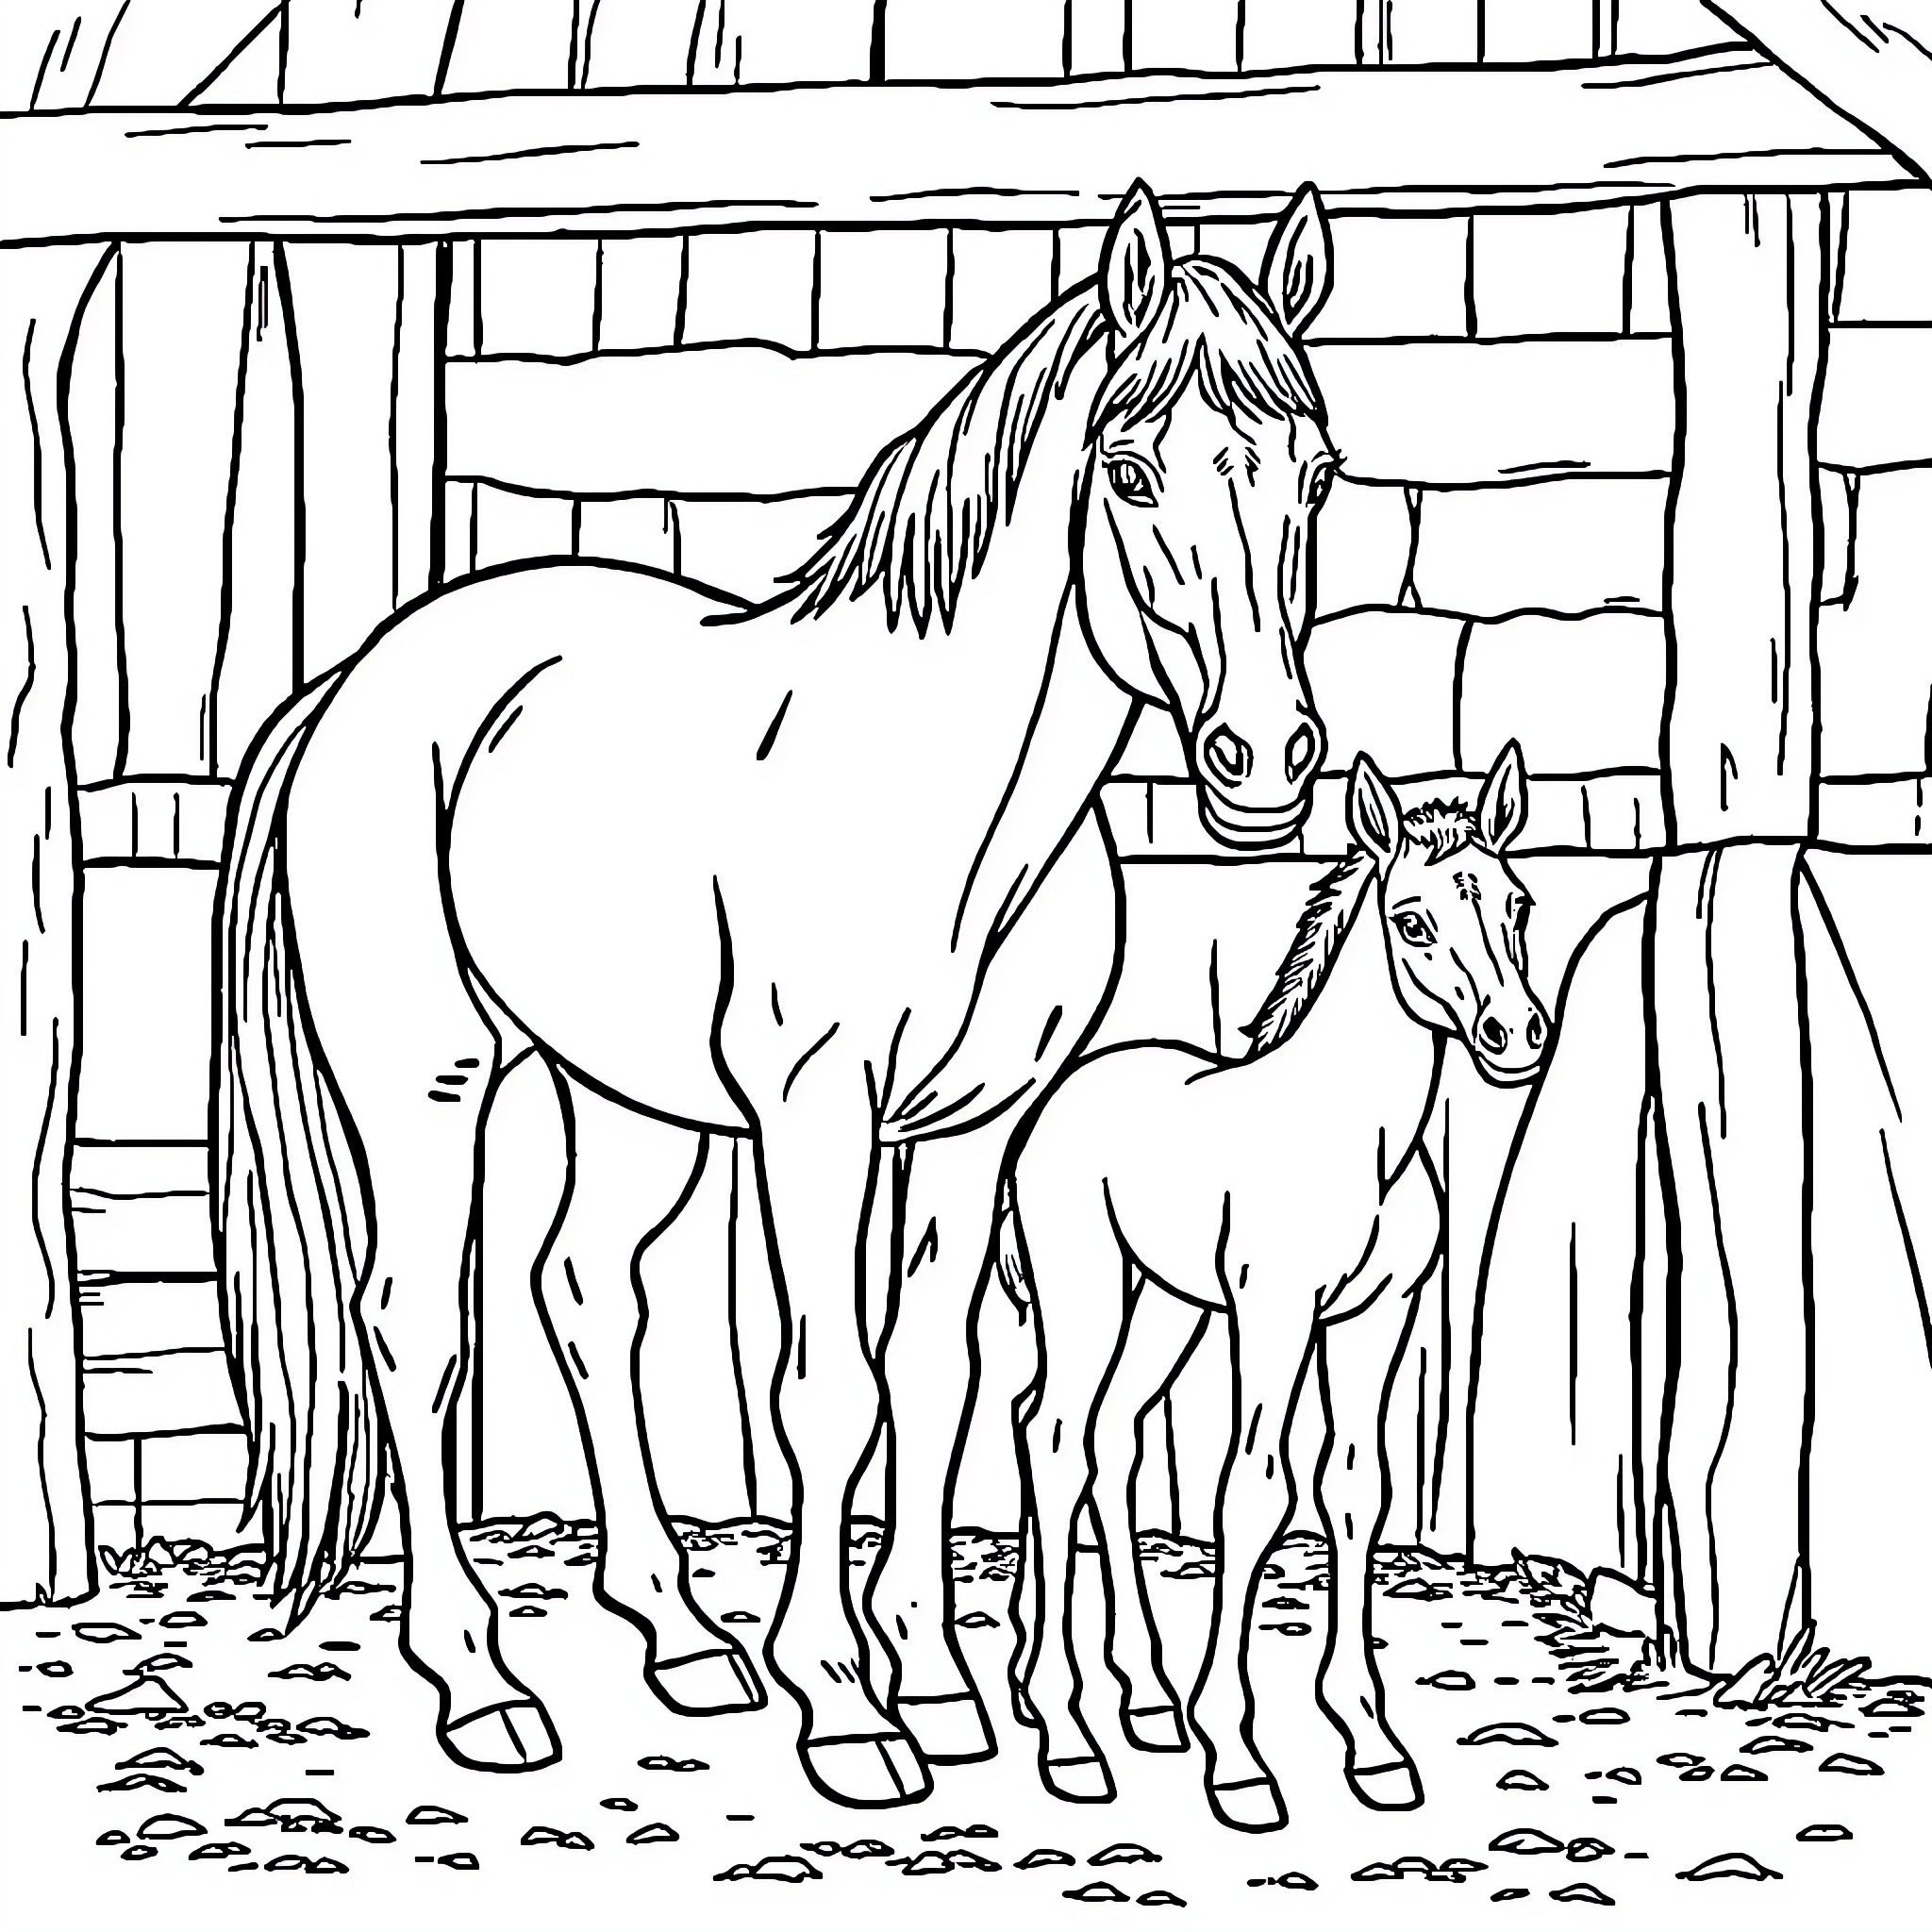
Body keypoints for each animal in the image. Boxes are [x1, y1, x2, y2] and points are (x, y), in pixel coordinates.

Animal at [213, 180, 1341, 1809]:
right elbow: (829, 1389)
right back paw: (482, 1684)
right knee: (418, 1324)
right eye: (1131, 470)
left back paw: (684, 1641)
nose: (1268, 759)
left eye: (1317, 474)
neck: (956, 805)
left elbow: (931, 1381)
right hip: (428, 1081)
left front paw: (932, 1682)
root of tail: (354, 678)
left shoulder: (970, 1133)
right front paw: (848, 1709)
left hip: (633, 1101)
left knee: (584, 1292)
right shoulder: (818, 1124)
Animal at [1001, 745, 1548, 1831]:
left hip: (1164, 1308)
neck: (1354, 1138)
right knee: (1051, 1434)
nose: (1514, 1035)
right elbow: (1251, 1489)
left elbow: (1355, 1486)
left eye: (1517, 901)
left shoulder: (1376, 1317)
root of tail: (1062, 1096)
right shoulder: (1272, 1314)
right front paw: (1239, 1759)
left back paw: (1142, 1700)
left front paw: (1371, 1744)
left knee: (1109, 1440)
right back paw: (1068, 1732)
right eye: (1412, 920)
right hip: (1088, 1291)